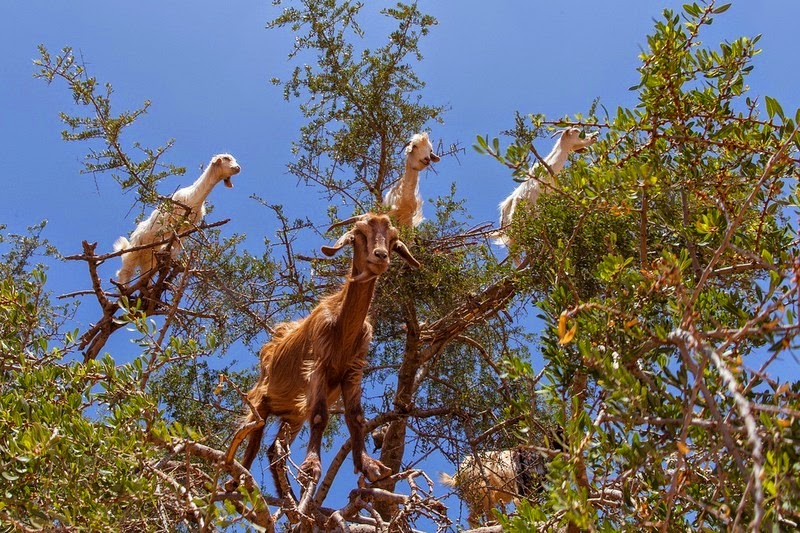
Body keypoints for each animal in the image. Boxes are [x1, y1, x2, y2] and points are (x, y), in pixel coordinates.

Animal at [113, 153, 241, 286]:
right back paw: (123, 289)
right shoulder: (170, 220)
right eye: (226, 158)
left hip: (148, 261)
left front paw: (172, 255)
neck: (193, 197)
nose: (238, 168)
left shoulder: (187, 228)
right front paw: (166, 248)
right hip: (135, 249)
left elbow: (178, 243)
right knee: (125, 271)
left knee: (144, 278)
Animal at [228, 212, 422, 498]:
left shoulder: (353, 371)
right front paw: (311, 467)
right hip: (261, 399)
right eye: (359, 234)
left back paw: (286, 494)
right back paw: (237, 481)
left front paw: (368, 465)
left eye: (392, 239)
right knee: (252, 436)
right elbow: (320, 416)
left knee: (275, 449)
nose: (380, 256)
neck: (342, 328)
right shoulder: (317, 365)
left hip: (293, 413)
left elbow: (356, 416)